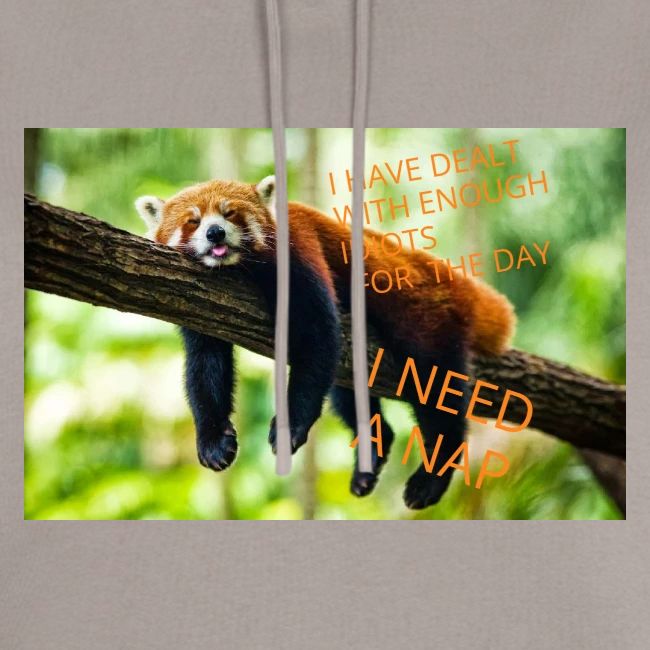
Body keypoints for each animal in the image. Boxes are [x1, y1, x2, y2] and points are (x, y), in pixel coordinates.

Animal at [136, 175, 515, 509]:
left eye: (230, 214)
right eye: (193, 221)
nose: (215, 232)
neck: (238, 269)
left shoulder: (299, 253)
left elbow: (318, 335)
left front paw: (290, 428)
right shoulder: (201, 303)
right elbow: (206, 366)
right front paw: (214, 441)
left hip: (426, 321)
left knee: (436, 391)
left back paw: (431, 477)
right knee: (347, 393)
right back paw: (371, 454)